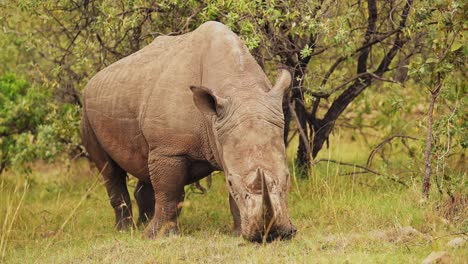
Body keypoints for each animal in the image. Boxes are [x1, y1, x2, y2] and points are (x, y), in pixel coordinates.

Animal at [78, 21, 294, 242]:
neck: (239, 86)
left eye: (287, 177)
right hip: (87, 110)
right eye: (231, 182)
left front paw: (238, 233)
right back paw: (126, 230)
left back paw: (142, 224)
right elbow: (169, 193)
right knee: (110, 170)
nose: (272, 234)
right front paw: (157, 237)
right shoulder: (168, 149)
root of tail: (92, 80)